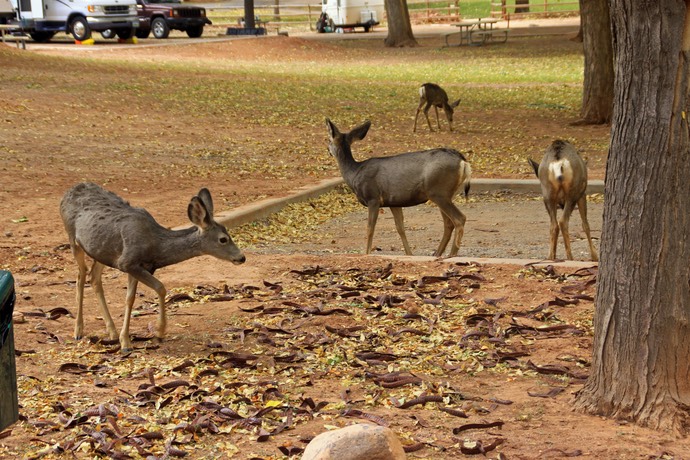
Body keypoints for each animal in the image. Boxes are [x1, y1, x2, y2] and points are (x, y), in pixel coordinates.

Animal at [59, 183, 245, 352]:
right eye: (223, 239)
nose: (242, 257)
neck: (156, 246)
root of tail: (67, 192)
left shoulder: (137, 266)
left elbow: (130, 299)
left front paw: (125, 339)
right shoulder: (127, 262)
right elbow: (160, 287)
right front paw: (158, 332)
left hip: (101, 251)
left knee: (94, 277)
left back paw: (111, 331)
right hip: (72, 238)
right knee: (81, 276)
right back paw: (78, 330)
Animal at [326, 117, 470, 256]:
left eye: (329, 140)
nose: (327, 149)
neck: (354, 173)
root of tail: (463, 161)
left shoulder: (373, 198)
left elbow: (370, 228)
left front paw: (366, 253)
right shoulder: (394, 202)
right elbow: (400, 228)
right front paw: (409, 254)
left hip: (438, 192)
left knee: (459, 218)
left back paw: (451, 254)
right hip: (444, 194)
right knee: (448, 223)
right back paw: (438, 253)